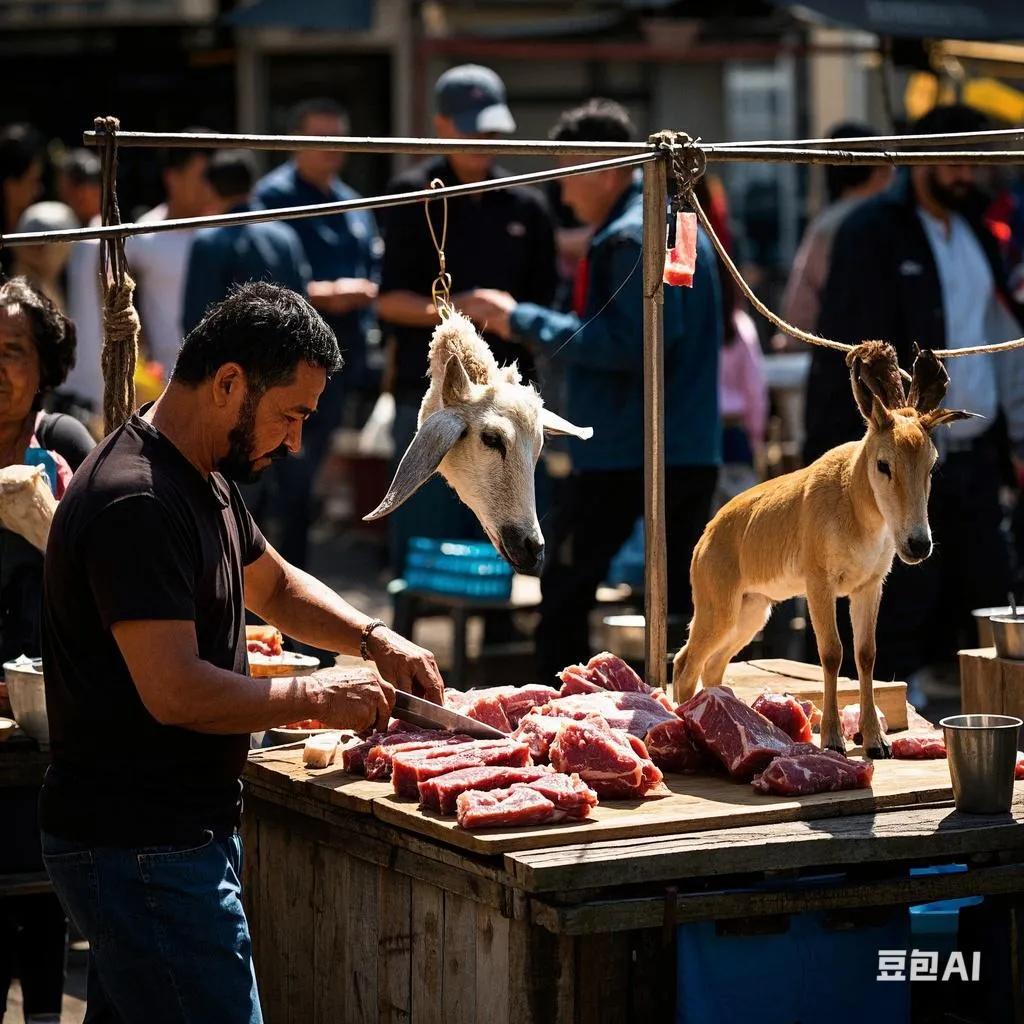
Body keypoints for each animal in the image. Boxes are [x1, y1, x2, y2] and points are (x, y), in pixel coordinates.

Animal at [675, 339, 970, 757]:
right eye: (884, 464)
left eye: (931, 466)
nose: (918, 544)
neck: (857, 511)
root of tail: (707, 536)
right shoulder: (819, 585)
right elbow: (832, 653)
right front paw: (833, 739)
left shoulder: (868, 586)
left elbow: (866, 654)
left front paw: (876, 742)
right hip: (717, 608)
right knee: (686, 663)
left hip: (752, 611)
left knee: (713, 666)